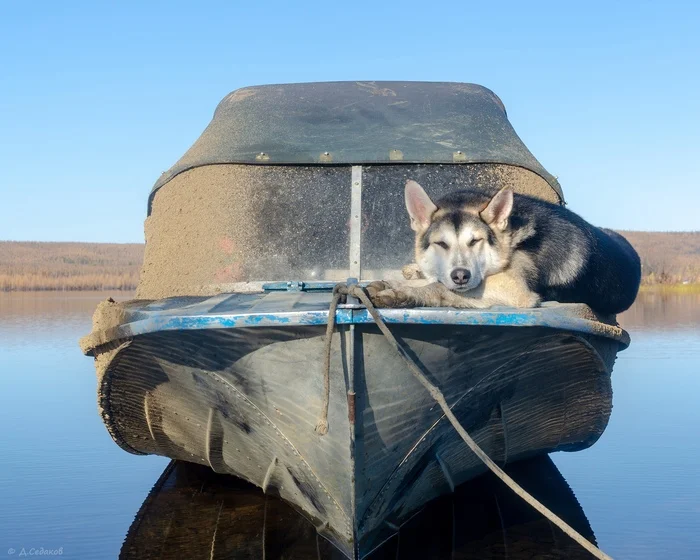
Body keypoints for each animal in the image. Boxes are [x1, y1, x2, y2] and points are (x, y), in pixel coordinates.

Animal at [370, 180, 644, 316]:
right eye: (441, 244)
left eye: (475, 241)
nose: (460, 276)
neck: (510, 237)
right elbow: (431, 280)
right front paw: (390, 282)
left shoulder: (514, 290)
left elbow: (438, 288)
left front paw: (401, 293)